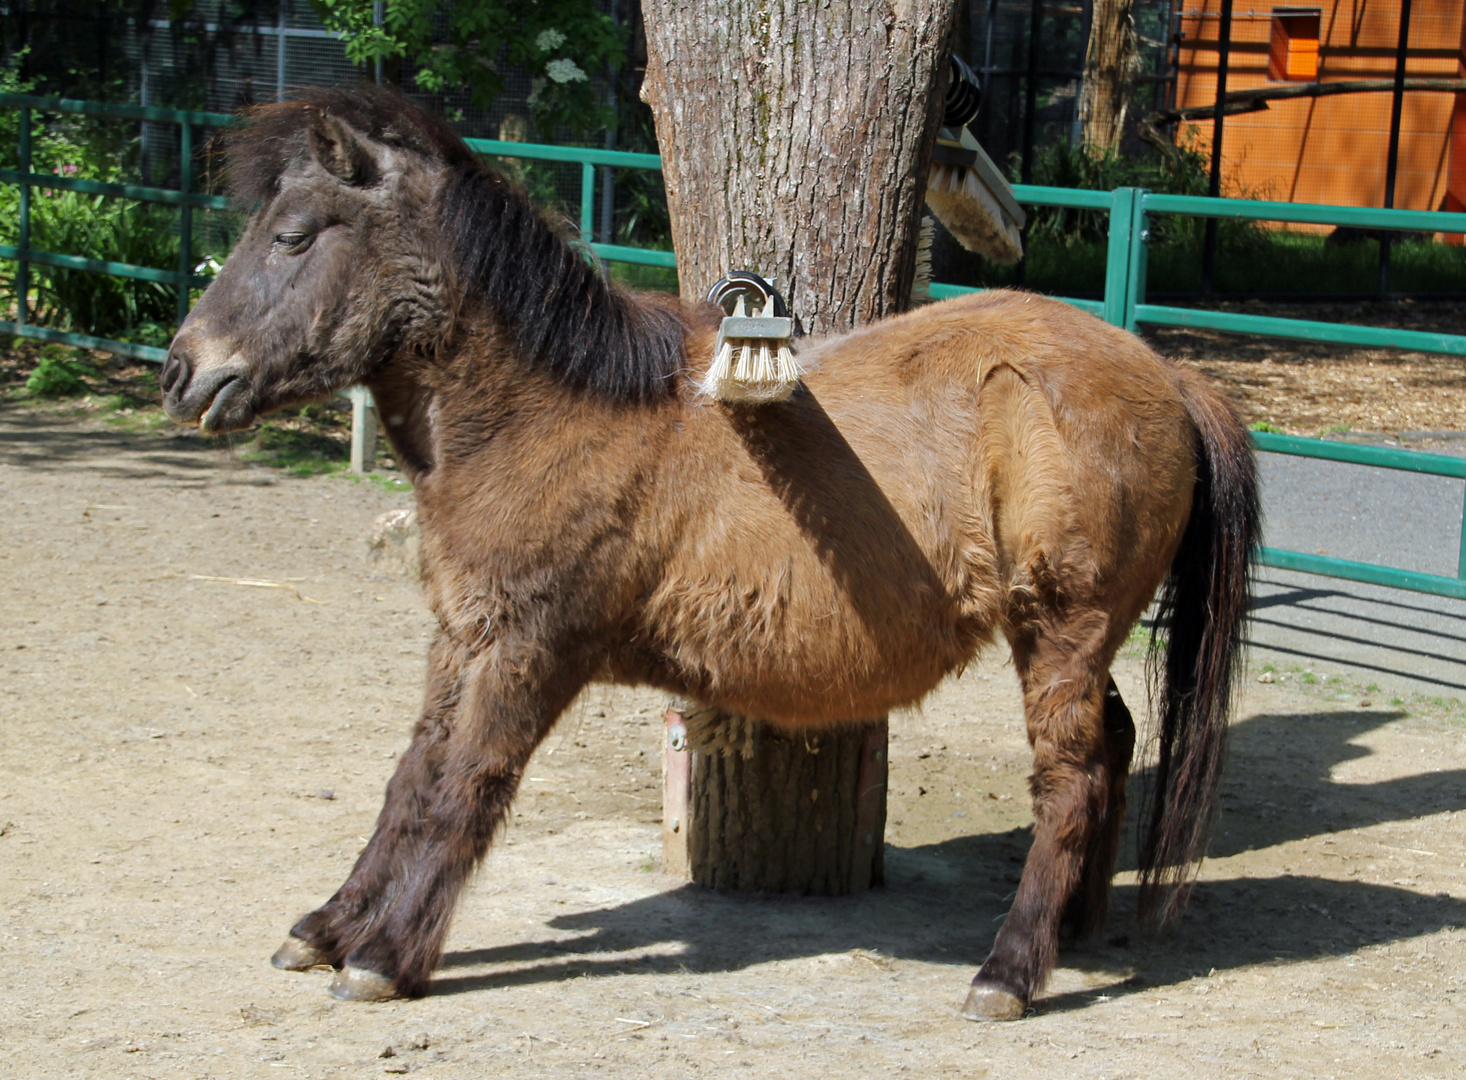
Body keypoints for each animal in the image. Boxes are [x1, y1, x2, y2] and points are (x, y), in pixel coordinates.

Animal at [163, 90, 1260, 1019]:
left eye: (292, 236)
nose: (182, 371)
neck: (550, 411)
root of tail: (1165, 373)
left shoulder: (529, 650)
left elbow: (466, 789)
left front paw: (386, 956)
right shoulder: (464, 638)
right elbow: (411, 781)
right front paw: (328, 926)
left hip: (1061, 629)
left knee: (1068, 776)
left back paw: (1010, 969)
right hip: (1074, 639)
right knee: (1111, 748)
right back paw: (1073, 929)